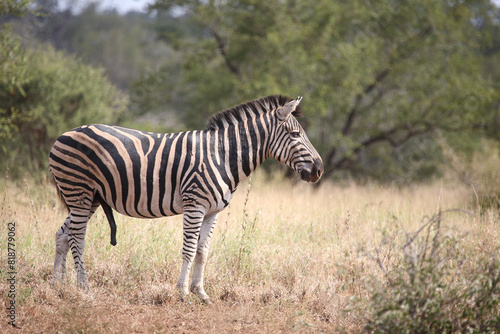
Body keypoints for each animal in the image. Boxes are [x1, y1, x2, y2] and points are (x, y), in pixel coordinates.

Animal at [49, 94, 324, 302]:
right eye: (295, 135)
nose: (319, 169)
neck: (223, 156)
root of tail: (63, 134)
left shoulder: (213, 211)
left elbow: (203, 251)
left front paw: (200, 292)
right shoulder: (195, 205)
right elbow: (189, 250)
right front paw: (182, 293)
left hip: (90, 197)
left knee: (62, 234)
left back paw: (57, 286)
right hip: (79, 191)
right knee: (77, 238)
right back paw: (83, 287)